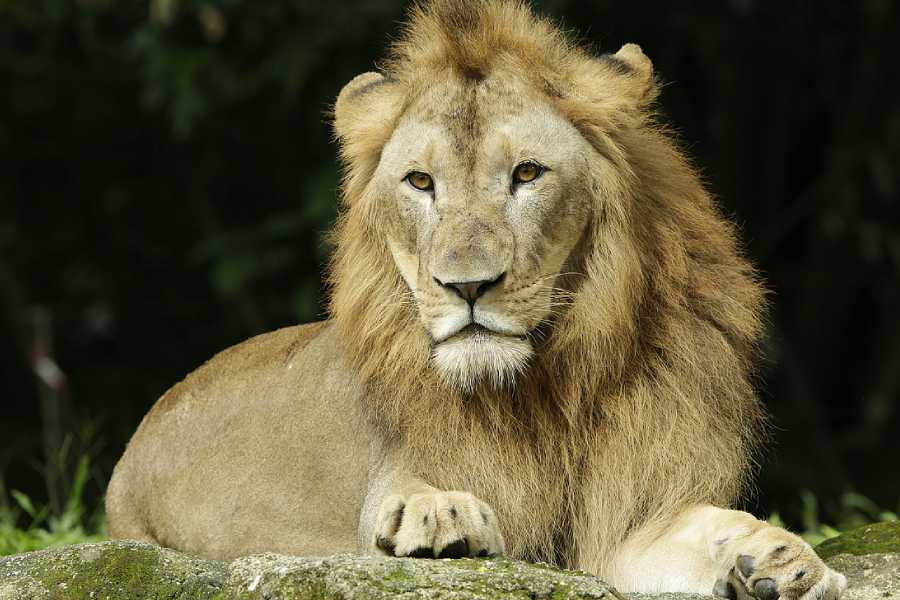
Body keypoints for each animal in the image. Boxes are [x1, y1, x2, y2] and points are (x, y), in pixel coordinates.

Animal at [106, 1, 847, 596]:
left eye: (527, 173)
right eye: (419, 181)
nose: (466, 286)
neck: (548, 386)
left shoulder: (632, 518)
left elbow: (707, 527)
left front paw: (780, 558)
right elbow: (408, 497)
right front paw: (435, 516)